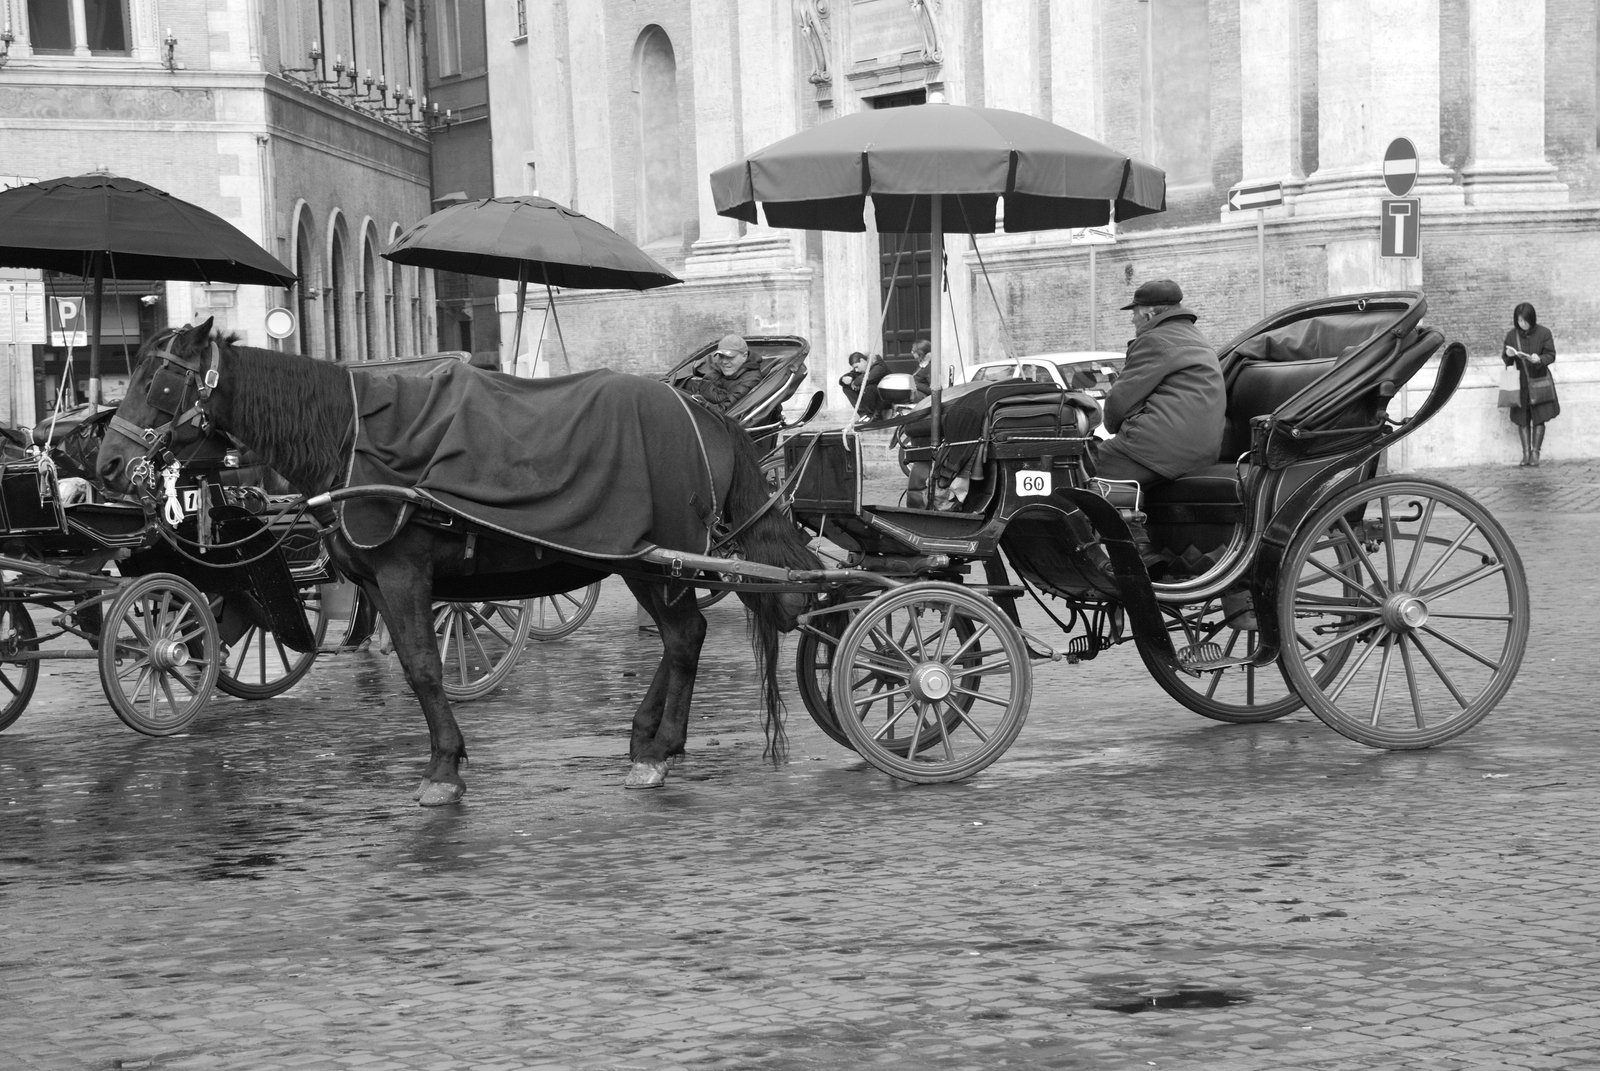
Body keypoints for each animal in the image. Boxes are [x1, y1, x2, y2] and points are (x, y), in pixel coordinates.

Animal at [96, 316, 825, 800]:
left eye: (161, 380)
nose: (104, 461)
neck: (350, 437)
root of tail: (700, 415)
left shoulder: (403, 574)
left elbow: (424, 668)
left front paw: (444, 765)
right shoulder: (377, 585)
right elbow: (412, 665)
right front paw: (445, 756)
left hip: (652, 559)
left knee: (684, 635)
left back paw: (661, 745)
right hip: (642, 560)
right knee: (680, 638)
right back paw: (647, 736)